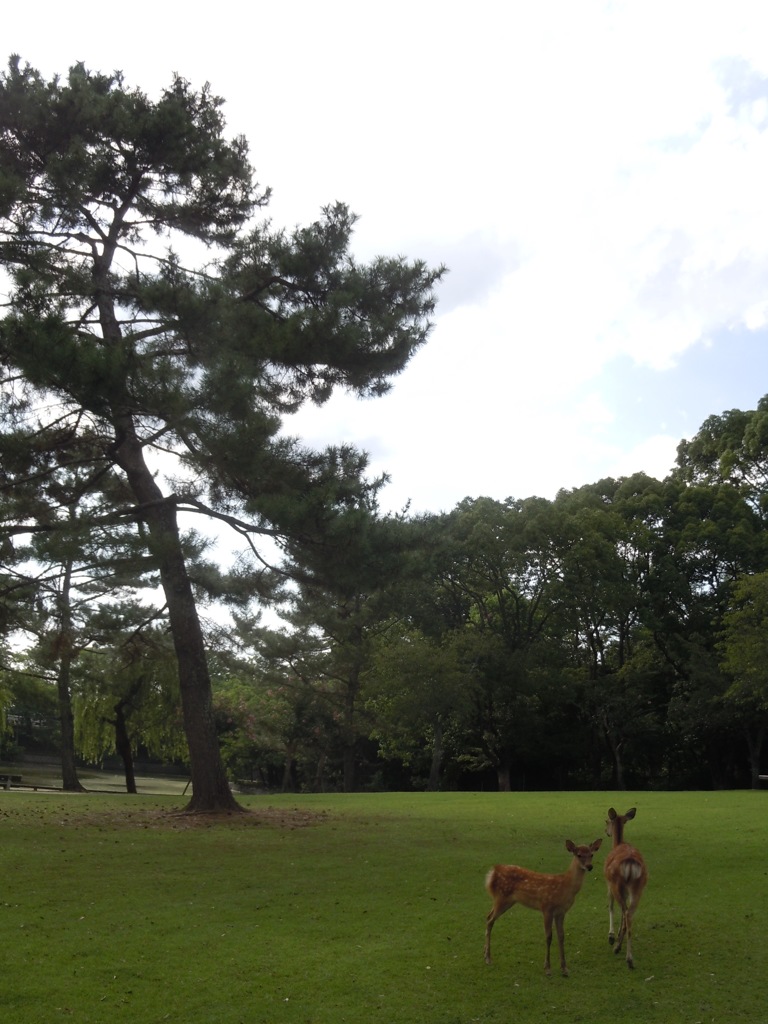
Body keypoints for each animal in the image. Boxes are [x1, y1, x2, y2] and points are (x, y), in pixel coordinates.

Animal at [483, 835, 606, 978]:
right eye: (579, 854)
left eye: (592, 854)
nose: (589, 866)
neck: (565, 887)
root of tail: (493, 872)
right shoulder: (547, 907)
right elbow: (548, 936)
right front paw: (547, 968)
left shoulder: (561, 912)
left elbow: (561, 936)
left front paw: (564, 968)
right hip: (501, 897)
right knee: (490, 920)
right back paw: (488, 958)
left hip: (505, 901)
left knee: (488, 916)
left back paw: (484, 953)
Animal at [606, 806, 651, 966]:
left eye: (606, 821)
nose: (606, 832)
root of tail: (631, 864)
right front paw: (617, 934)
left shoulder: (608, 883)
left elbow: (611, 907)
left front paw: (611, 935)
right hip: (639, 887)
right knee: (629, 914)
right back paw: (629, 957)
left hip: (616, 884)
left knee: (625, 911)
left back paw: (619, 949)